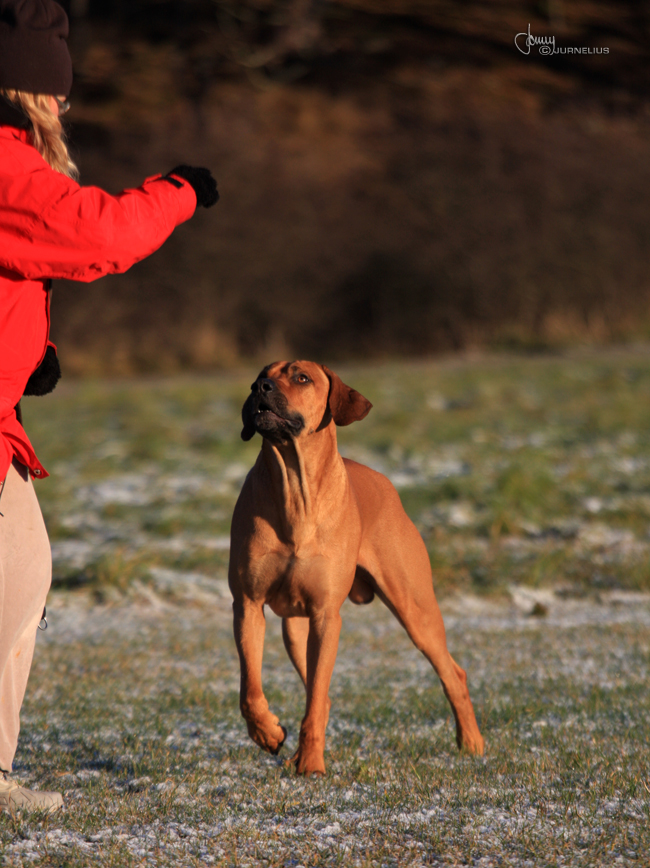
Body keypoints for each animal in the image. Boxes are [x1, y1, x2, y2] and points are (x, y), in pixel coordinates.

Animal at [230, 360, 484, 772]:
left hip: (415, 608)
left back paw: (472, 742)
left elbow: (316, 695)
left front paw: (312, 766)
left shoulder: (326, 616)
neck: (294, 487)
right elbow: (251, 689)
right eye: (259, 376)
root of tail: (387, 484)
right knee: (319, 691)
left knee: (452, 673)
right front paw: (268, 733)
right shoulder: (248, 605)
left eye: (302, 378)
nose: (259, 387)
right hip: (294, 630)